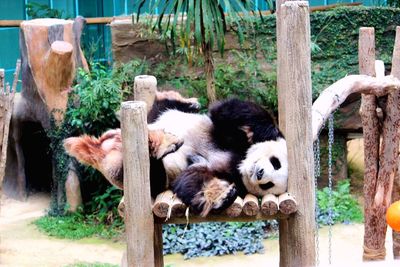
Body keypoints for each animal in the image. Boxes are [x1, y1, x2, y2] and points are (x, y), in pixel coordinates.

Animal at [63, 96, 288, 218]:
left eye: (268, 185)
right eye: (275, 162)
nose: (260, 174)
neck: (240, 161)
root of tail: (102, 155)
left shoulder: (231, 175)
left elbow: (191, 179)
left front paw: (222, 196)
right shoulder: (232, 137)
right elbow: (228, 111)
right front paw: (268, 132)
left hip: (127, 170)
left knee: (152, 177)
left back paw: (158, 146)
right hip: (148, 120)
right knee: (161, 107)